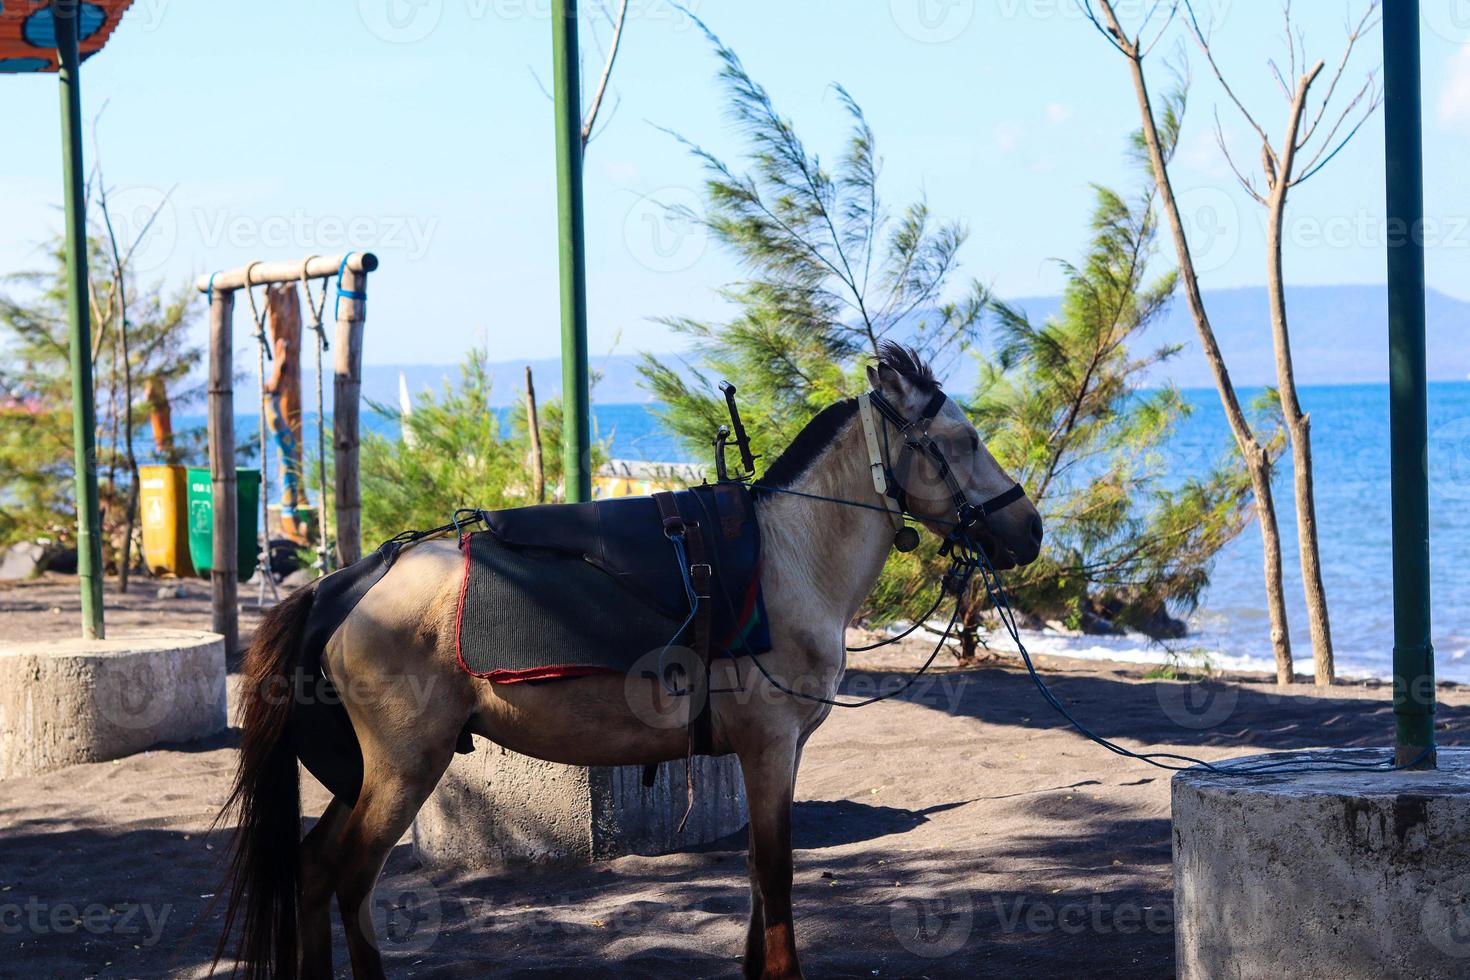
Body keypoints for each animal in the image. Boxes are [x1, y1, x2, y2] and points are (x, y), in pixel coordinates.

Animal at [214, 340, 1046, 975]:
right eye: (964, 441)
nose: (1030, 529)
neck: (786, 555)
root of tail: (346, 584)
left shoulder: (774, 753)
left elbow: (757, 876)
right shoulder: (770, 746)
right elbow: (776, 877)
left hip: (363, 774)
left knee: (312, 872)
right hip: (402, 770)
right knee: (349, 879)